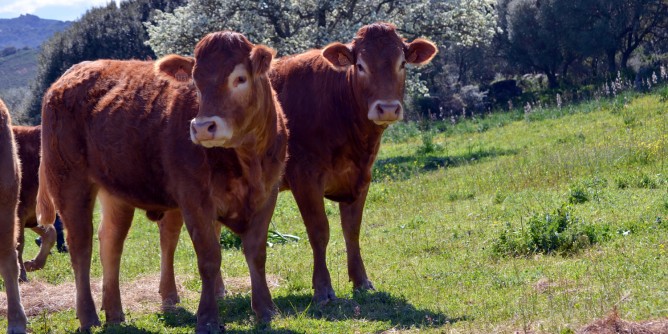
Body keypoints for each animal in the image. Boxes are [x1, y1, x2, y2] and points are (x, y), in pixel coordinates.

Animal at [11, 125, 59, 282]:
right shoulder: (19, 213)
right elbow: (19, 243)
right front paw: (21, 274)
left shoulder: (34, 215)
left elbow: (51, 233)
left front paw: (32, 264)